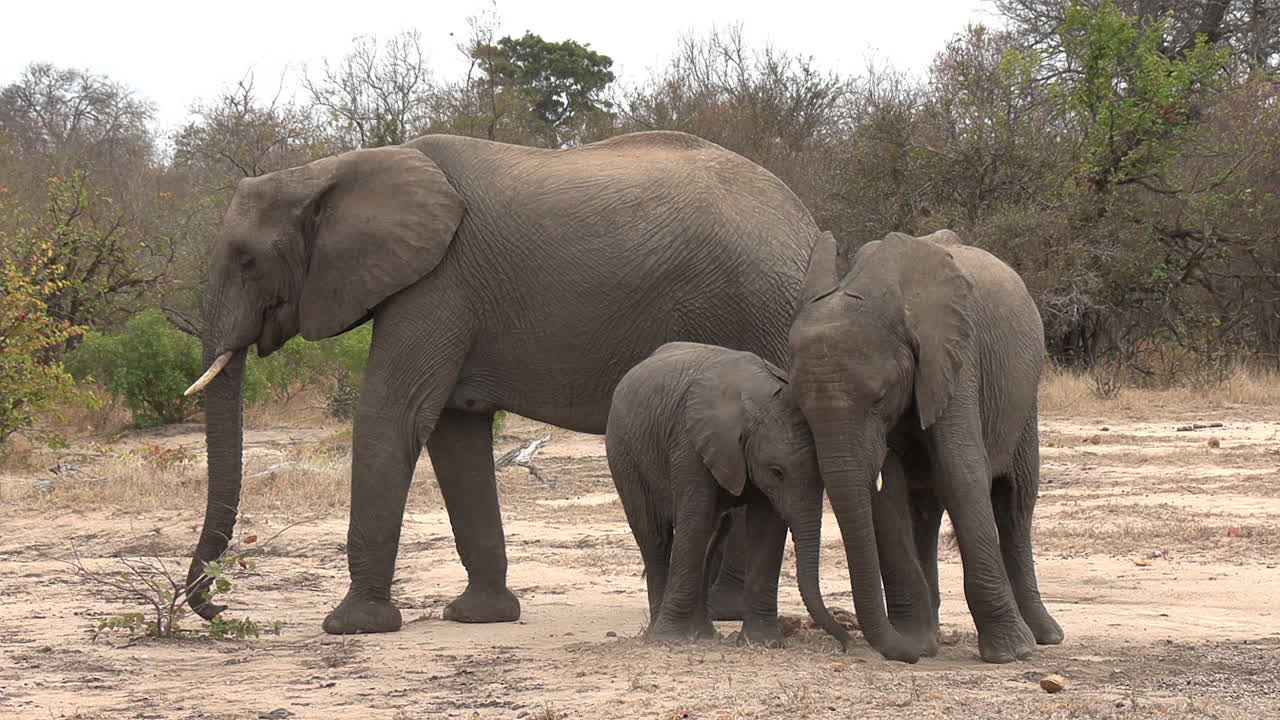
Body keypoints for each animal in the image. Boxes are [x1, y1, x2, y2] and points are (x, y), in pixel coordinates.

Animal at [182, 130, 822, 635]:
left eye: (246, 261)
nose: (217, 610)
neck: (328, 170)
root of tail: (805, 223)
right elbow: (453, 431)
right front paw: (479, 617)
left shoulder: (437, 283)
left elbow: (394, 415)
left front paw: (352, 626)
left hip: (758, 307)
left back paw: (725, 610)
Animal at [605, 342, 851, 649]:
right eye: (777, 472)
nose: (847, 642)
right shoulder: (690, 443)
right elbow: (694, 521)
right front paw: (669, 639)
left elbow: (766, 529)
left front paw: (763, 643)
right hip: (624, 455)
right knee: (655, 536)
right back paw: (658, 632)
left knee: (713, 536)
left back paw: (703, 634)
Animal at [787, 229, 1063, 664]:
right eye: (800, 408)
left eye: (880, 398)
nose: (847, 642)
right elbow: (888, 493)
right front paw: (916, 643)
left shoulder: (955, 358)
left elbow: (962, 473)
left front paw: (1008, 654)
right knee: (925, 508)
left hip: (1025, 395)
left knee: (1014, 499)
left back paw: (1044, 636)